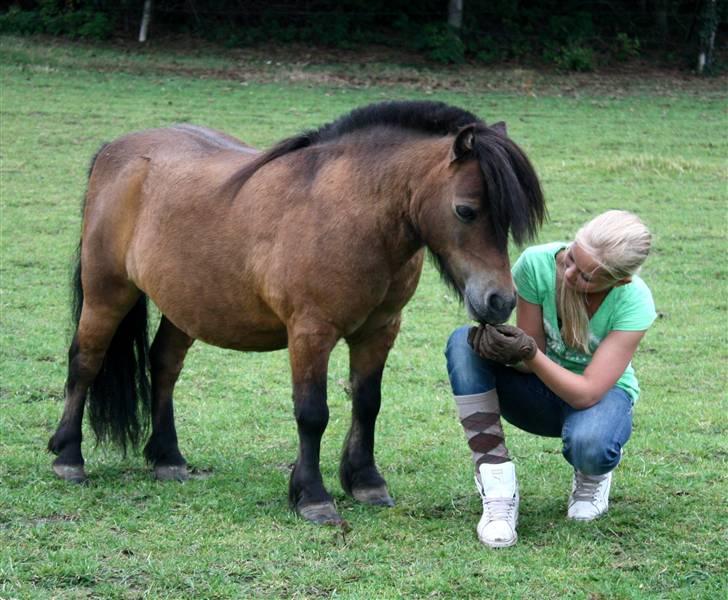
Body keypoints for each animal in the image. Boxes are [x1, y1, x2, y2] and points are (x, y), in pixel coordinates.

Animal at [48, 101, 544, 524]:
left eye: (505, 218)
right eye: (466, 211)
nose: (500, 301)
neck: (352, 211)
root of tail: (116, 150)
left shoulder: (379, 331)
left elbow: (368, 402)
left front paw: (365, 481)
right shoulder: (310, 332)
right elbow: (312, 413)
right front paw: (313, 496)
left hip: (184, 305)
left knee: (164, 365)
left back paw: (168, 458)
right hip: (107, 293)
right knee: (86, 361)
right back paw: (69, 457)